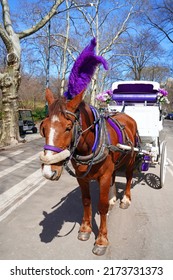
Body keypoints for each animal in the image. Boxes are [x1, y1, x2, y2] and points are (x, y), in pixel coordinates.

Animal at [39, 88, 138, 256]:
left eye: (68, 127)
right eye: (44, 128)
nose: (48, 172)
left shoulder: (104, 177)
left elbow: (102, 206)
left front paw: (101, 240)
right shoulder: (82, 177)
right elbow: (86, 201)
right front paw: (85, 229)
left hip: (131, 159)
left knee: (129, 177)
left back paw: (125, 199)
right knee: (114, 176)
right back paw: (113, 198)